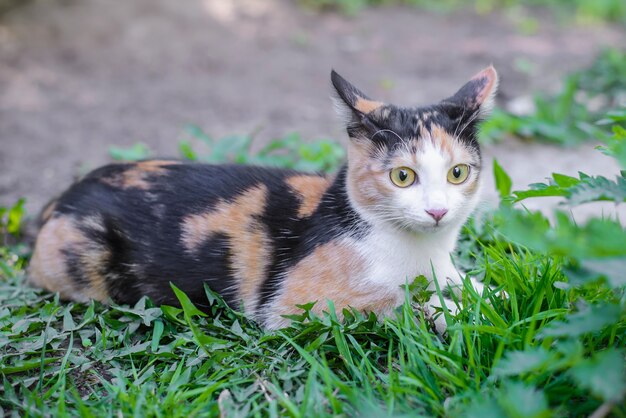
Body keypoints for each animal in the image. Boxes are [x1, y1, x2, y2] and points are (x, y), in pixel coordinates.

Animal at [28, 66, 498, 334]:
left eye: (458, 173)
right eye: (403, 176)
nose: (437, 210)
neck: (422, 253)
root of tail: (64, 195)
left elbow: (471, 284)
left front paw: (494, 295)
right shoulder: (297, 305)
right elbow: (402, 301)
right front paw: (453, 311)